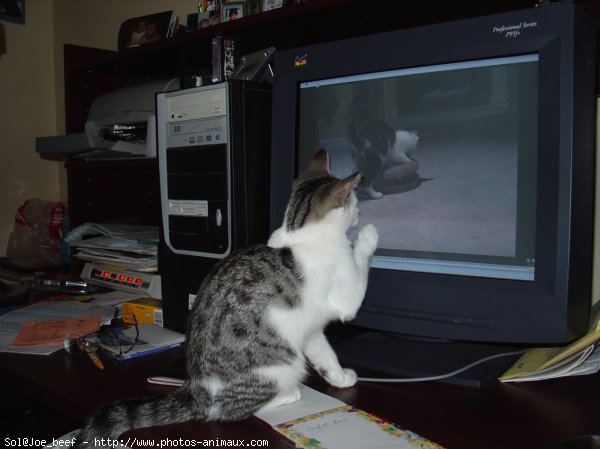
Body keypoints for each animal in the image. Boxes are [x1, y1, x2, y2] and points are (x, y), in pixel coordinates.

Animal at [74, 149, 376, 446]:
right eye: (354, 201)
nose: (361, 212)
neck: (299, 232)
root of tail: (196, 391)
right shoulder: (346, 295)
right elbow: (358, 275)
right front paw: (368, 238)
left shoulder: (310, 329)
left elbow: (326, 354)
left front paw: (340, 378)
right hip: (284, 362)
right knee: (229, 412)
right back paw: (289, 394)